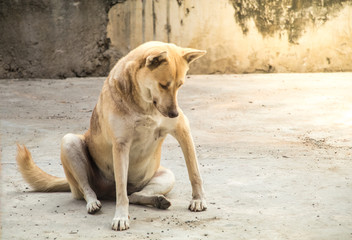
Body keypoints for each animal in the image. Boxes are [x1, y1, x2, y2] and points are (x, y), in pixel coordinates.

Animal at [16, 41, 208, 231]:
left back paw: (158, 200)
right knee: (90, 190)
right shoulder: (121, 146)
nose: (174, 114)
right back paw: (93, 203)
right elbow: (121, 191)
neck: (144, 105)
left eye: (180, 85)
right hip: (70, 143)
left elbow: (194, 172)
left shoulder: (183, 131)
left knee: (135, 195)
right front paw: (121, 217)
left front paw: (198, 199)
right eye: (163, 85)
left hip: (166, 176)